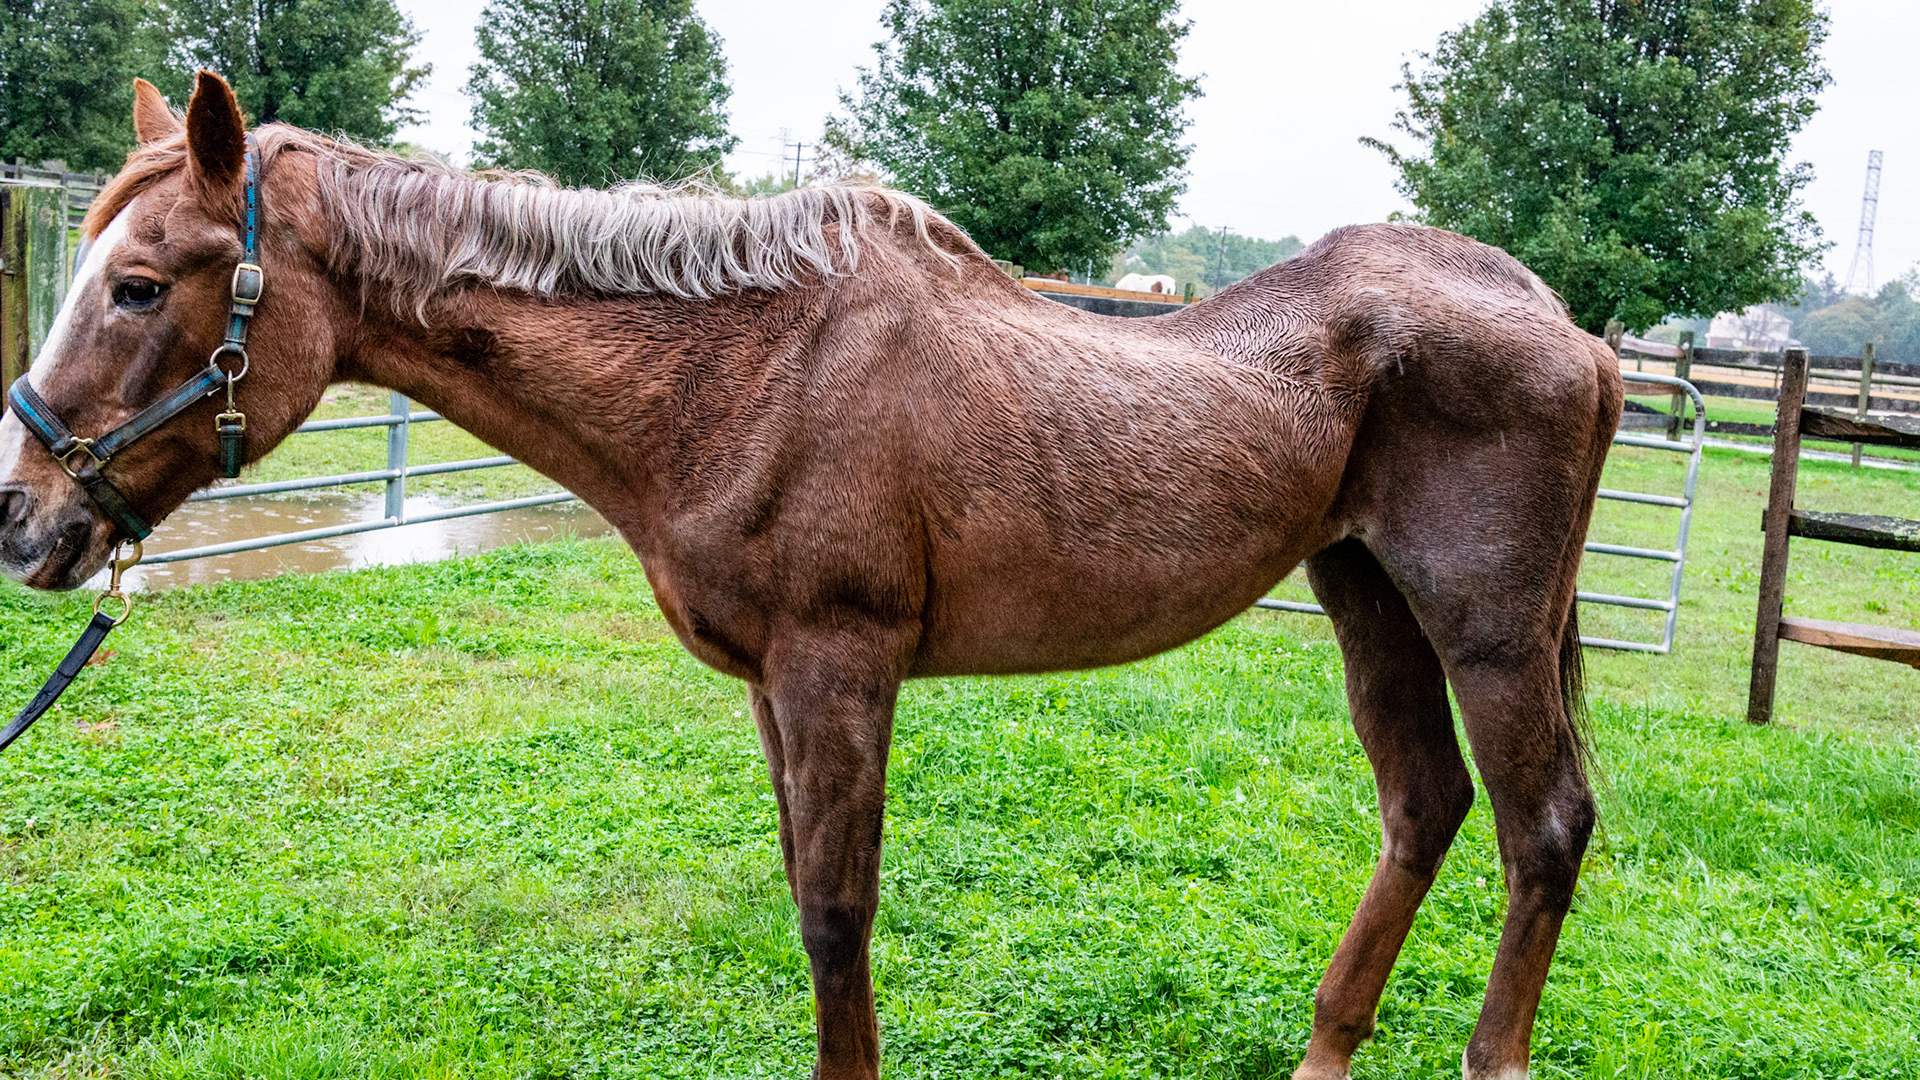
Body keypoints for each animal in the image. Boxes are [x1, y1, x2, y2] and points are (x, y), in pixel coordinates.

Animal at [0, 72, 1621, 1080]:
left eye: (137, 284)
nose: (25, 523)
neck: (748, 367)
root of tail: (1571, 328)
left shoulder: (840, 669)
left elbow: (838, 924)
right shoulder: (777, 691)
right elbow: (804, 902)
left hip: (1485, 628)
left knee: (1542, 828)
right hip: (1369, 597)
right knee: (1425, 806)